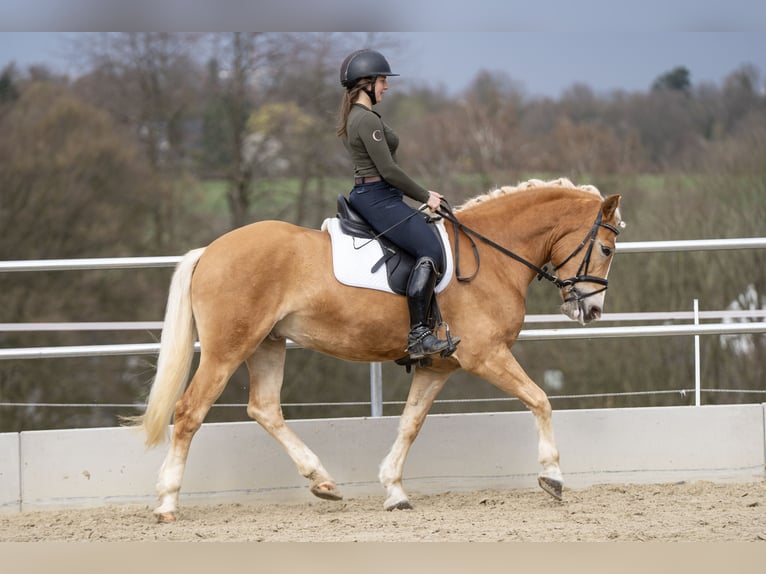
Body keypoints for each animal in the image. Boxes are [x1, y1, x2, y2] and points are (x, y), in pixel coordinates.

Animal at [131, 178, 625, 522]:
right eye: (604, 248)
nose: (592, 309)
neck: (490, 257)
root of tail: (210, 251)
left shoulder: (438, 366)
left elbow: (410, 424)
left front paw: (394, 491)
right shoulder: (486, 355)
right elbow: (540, 399)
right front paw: (552, 477)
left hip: (267, 344)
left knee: (265, 409)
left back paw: (323, 482)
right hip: (227, 348)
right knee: (190, 412)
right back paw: (167, 503)